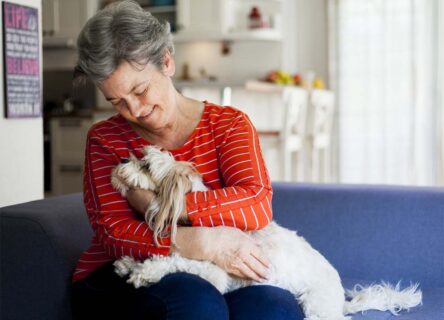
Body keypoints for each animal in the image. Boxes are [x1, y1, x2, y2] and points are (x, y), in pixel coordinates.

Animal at [111, 146, 424, 320]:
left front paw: (145, 272)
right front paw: (129, 263)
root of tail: (341, 303)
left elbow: (176, 261)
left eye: (145, 165)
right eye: (137, 155)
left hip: (315, 305)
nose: (120, 163)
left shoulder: (215, 272)